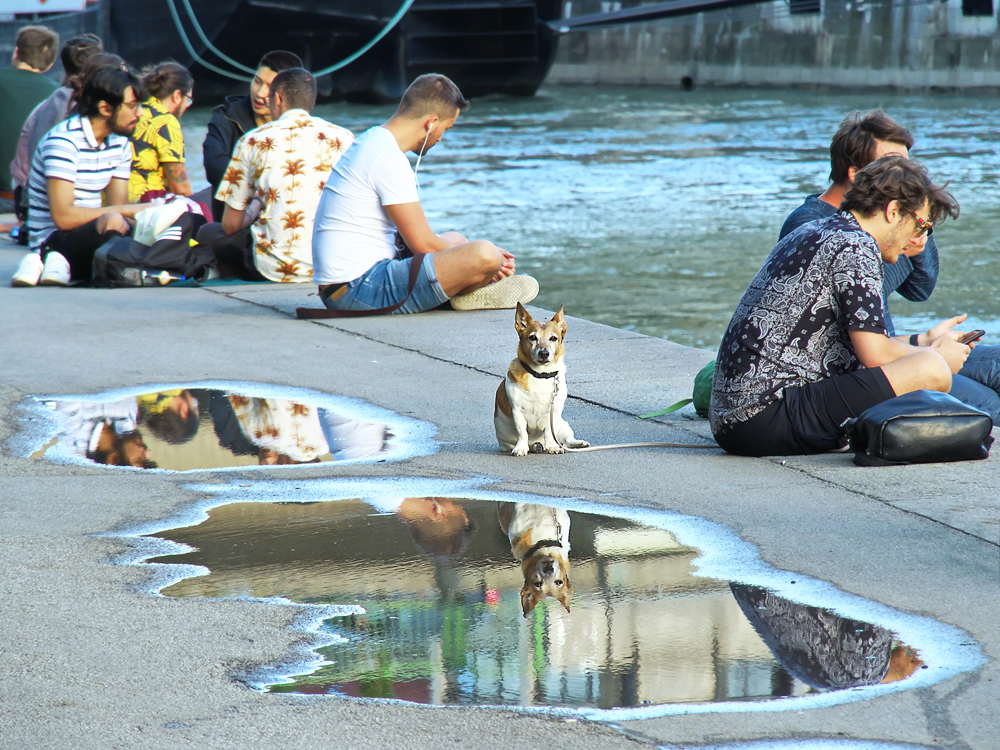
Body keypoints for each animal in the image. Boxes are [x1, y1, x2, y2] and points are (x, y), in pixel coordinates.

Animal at [492, 302, 584, 456]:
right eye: (532, 338)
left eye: (553, 338)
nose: (544, 353)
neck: (541, 375)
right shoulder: (517, 412)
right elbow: (522, 432)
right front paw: (521, 448)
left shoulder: (554, 413)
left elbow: (549, 433)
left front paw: (553, 446)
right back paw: (535, 446)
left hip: (563, 426)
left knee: (566, 440)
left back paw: (577, 443)